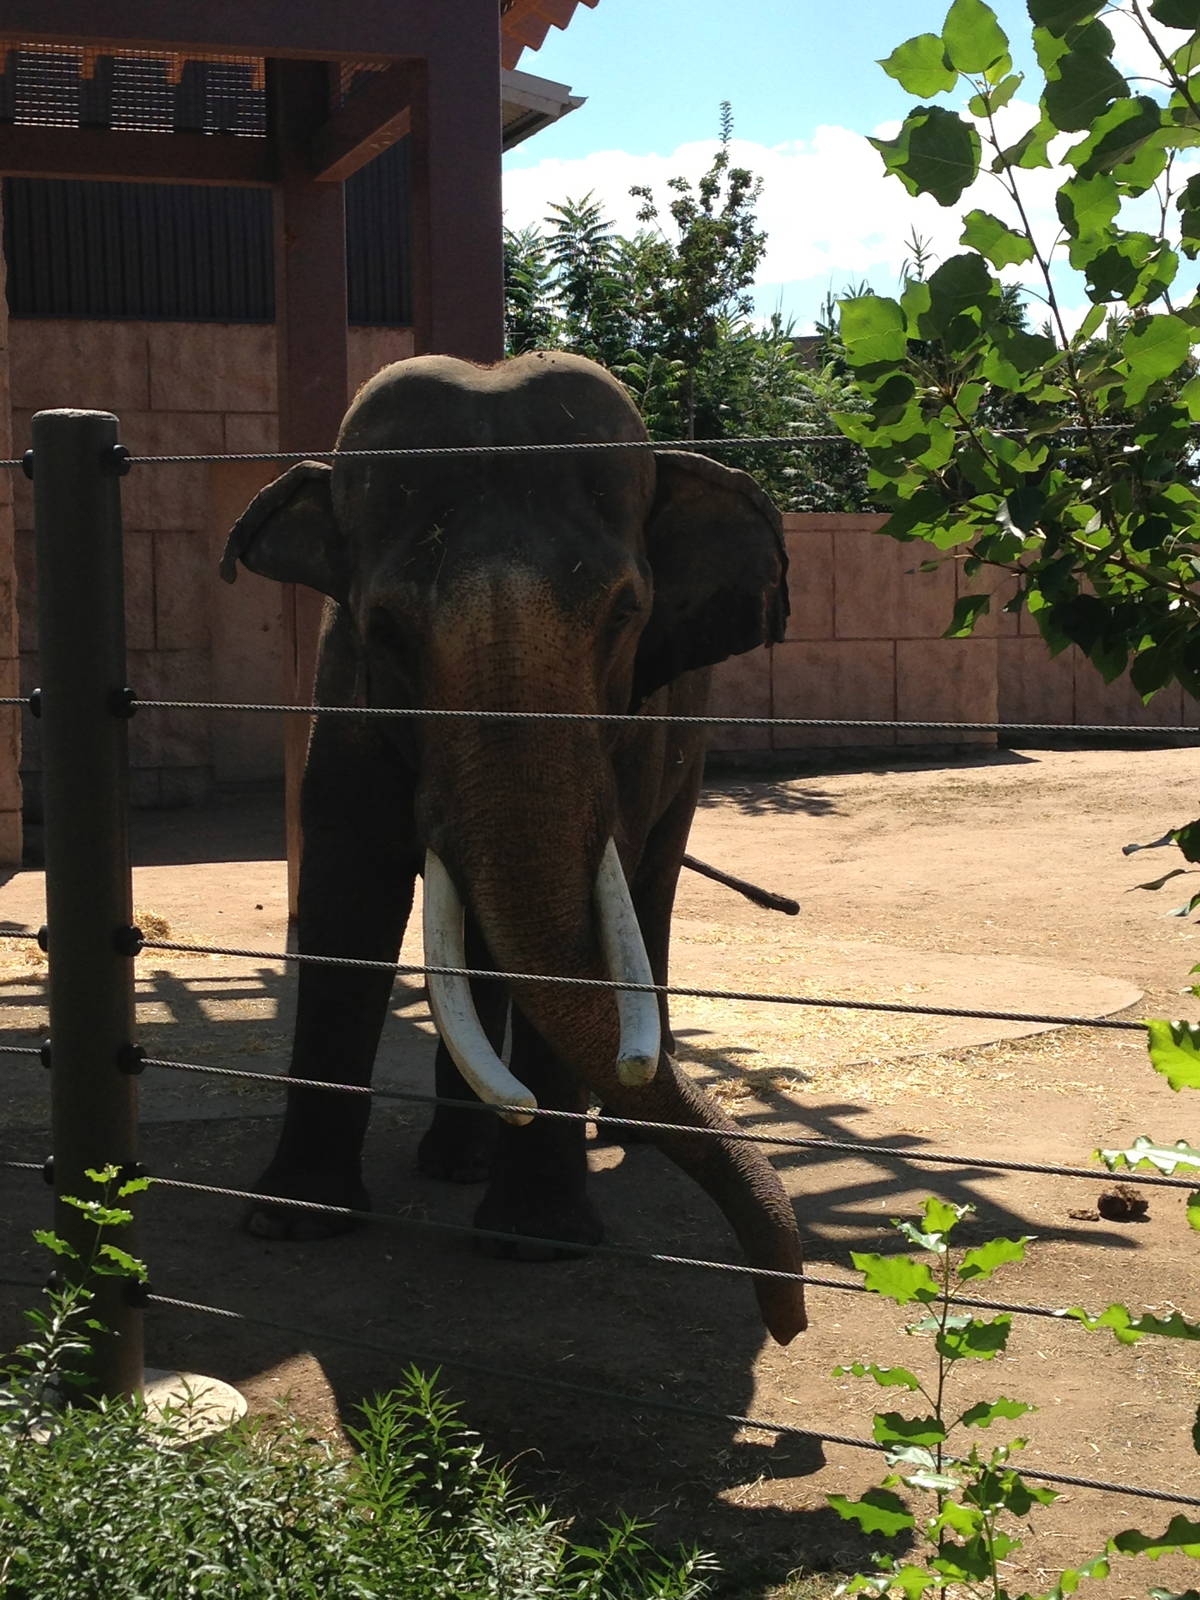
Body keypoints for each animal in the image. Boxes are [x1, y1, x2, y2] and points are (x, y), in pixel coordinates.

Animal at [220, 350, 807, 1345]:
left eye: (625, 615)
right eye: (384, 628)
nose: (789, 1318)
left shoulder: (635, 730)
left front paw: (538, 1243)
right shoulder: (341, 697)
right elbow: (348, 898)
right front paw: (291, 1222)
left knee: (649, 893)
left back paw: (605, 1136)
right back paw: (464, 1155)